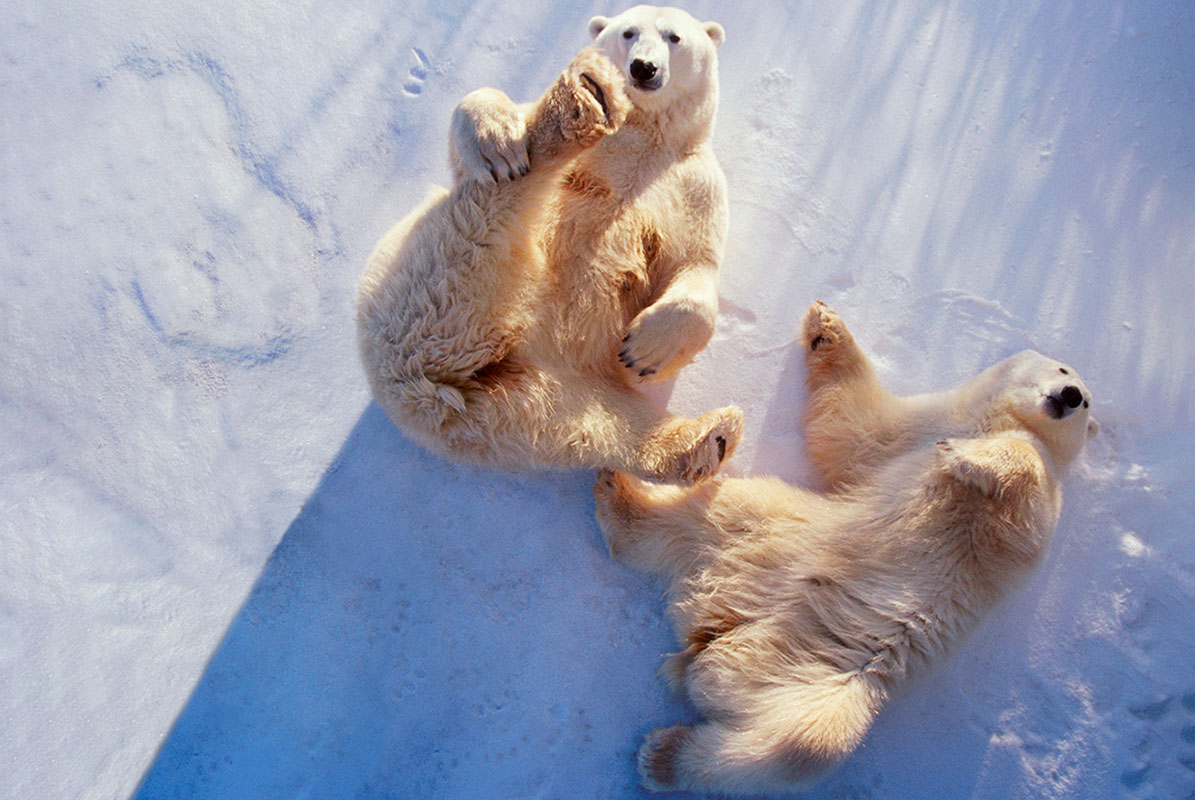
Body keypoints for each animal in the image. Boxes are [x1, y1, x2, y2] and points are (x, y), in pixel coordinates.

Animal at [353, 6, 736, 483]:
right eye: (628, 32)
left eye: (674, 37)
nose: (642, 68)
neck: (645, 134)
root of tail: (423, 395)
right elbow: (476, 132)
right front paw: (495, 138)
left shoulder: (695, 183)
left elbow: (697, 263)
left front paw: (644, 350)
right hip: (427, 278)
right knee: (488, 208)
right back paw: (583, 100)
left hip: (539, 397)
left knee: (598, 424)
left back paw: (707, 439)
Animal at [597, 301, 1099, 794]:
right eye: (1062, 368)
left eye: (1088, 400)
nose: (1072, 394)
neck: (991, 422)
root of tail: (713, 637)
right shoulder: (917, 431)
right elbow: (856, 431)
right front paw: (825, 325)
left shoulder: (1029, 525)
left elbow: (1023, 481)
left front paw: (962, 457)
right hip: (775, 535)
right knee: (706, 512)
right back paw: (619, 493)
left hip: (834, 681)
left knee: (797, 747)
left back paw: (661, 755)